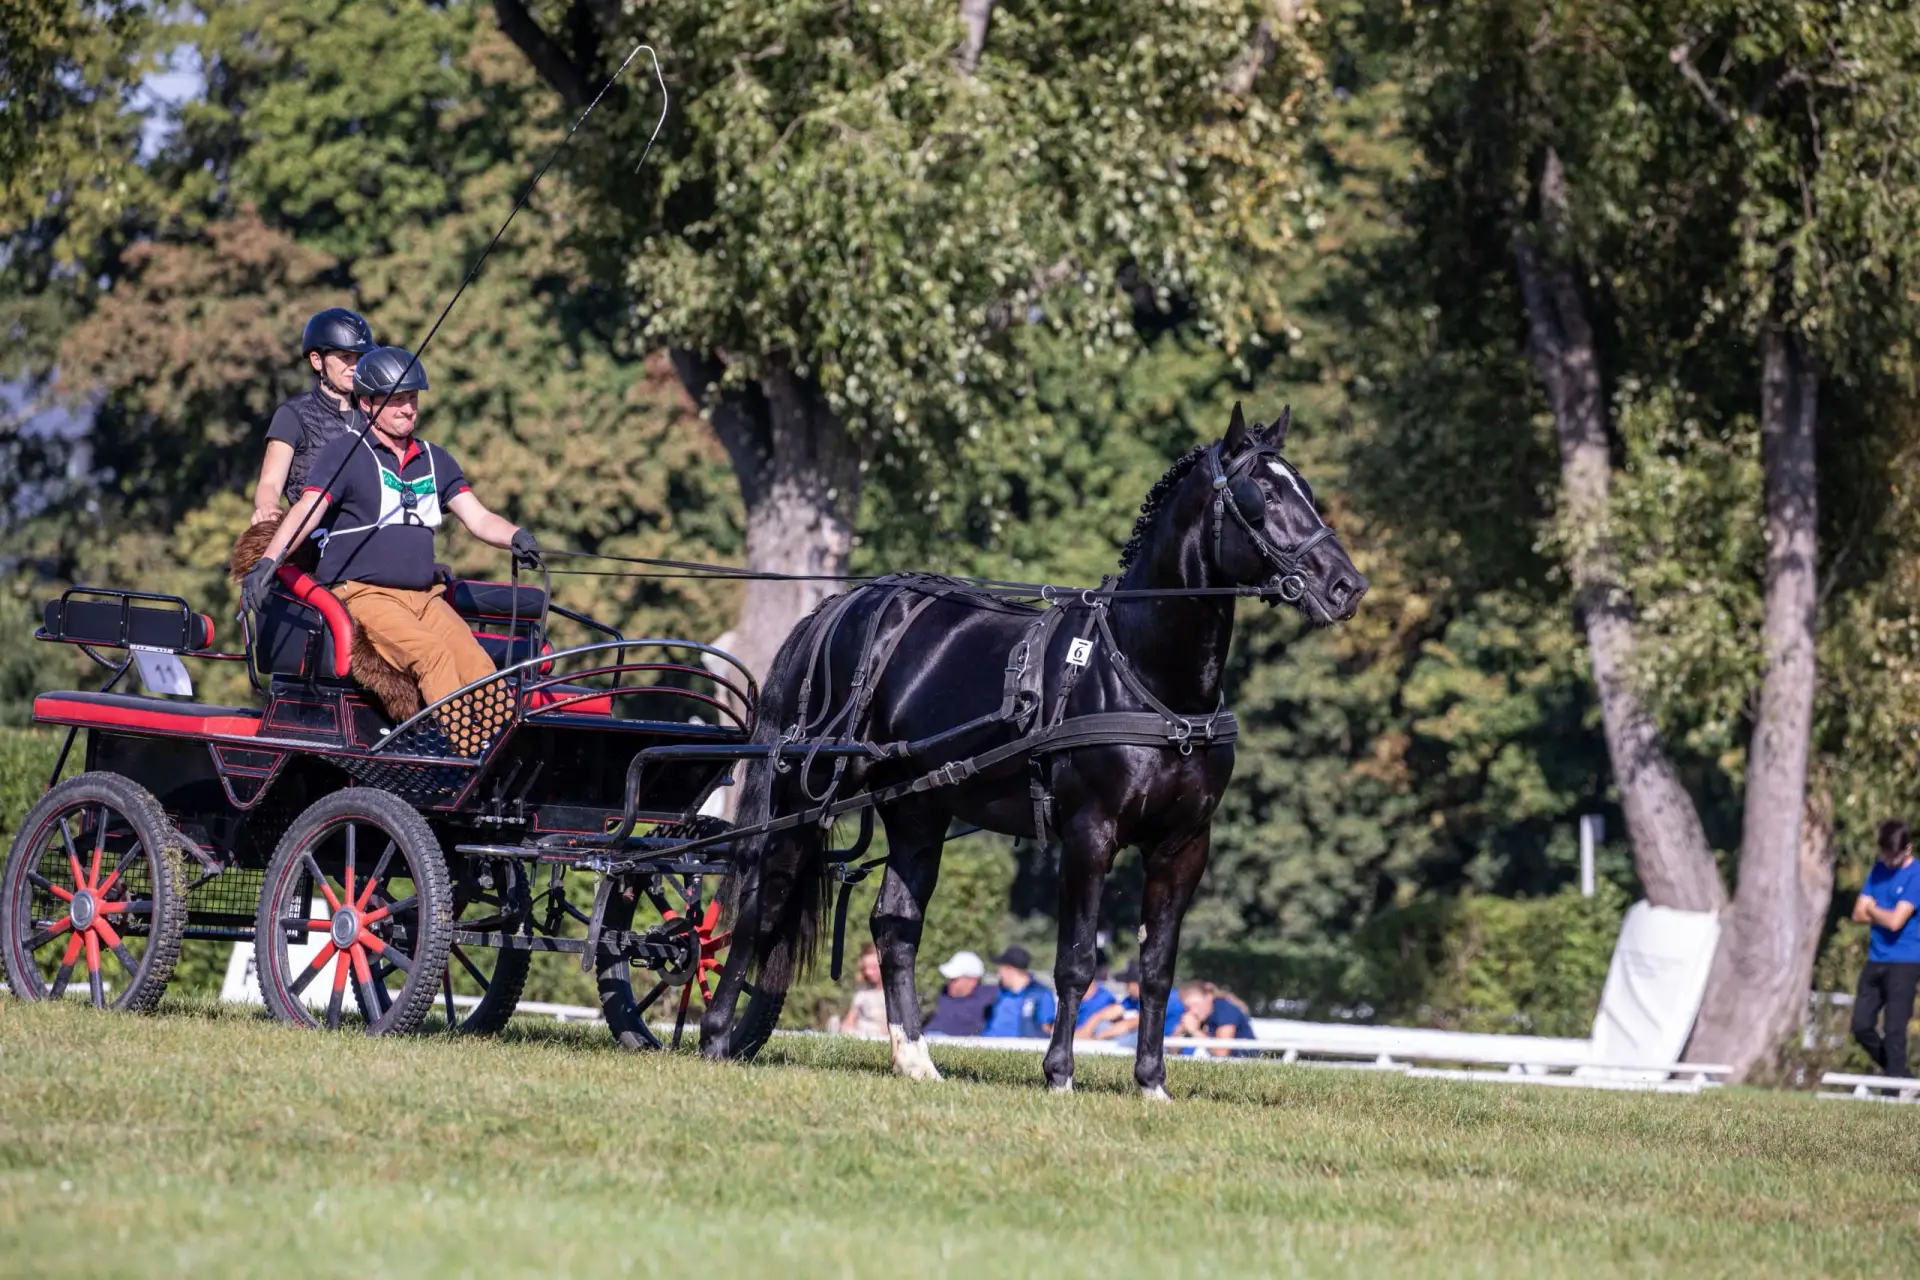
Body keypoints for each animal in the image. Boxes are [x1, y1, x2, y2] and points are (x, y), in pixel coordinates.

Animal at [698, 403, 1367, 1097]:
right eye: (1262, 497)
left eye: (1307, 490)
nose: (1347, 586)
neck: (1146, 677)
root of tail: (844, 604)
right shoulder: (1089, 834)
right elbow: (1075, 962)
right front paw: (1060, 1075)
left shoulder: (1184, 845)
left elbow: (1157, 968)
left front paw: (1152, 1083)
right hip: (804, 795)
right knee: (761, 902)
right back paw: (717, 1035)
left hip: (918, 809)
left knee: (894, 923)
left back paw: (916, 1059)